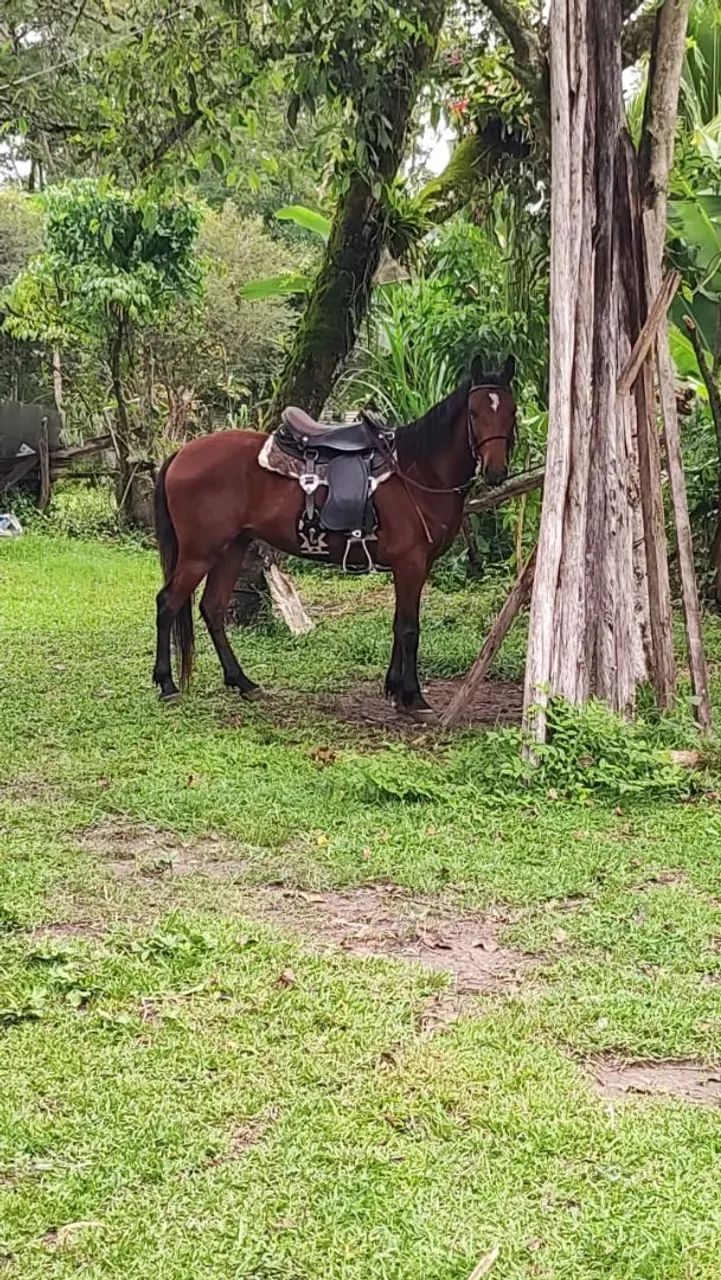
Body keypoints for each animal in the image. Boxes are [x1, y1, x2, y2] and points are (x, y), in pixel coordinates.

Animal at [152, 354, 517, 717]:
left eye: (511, 412)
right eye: (474, 413)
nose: (495, 471)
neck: (418, 472)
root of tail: (181, 454)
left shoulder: (413, 566)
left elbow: (398, 624)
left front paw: (395, 688)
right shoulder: (410, 564)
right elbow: (410, 628)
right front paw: (413, 696)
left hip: (231, 548)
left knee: (212, 608)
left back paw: (243, 682)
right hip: (200, 553)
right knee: (168, 603)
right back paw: (167, 685)